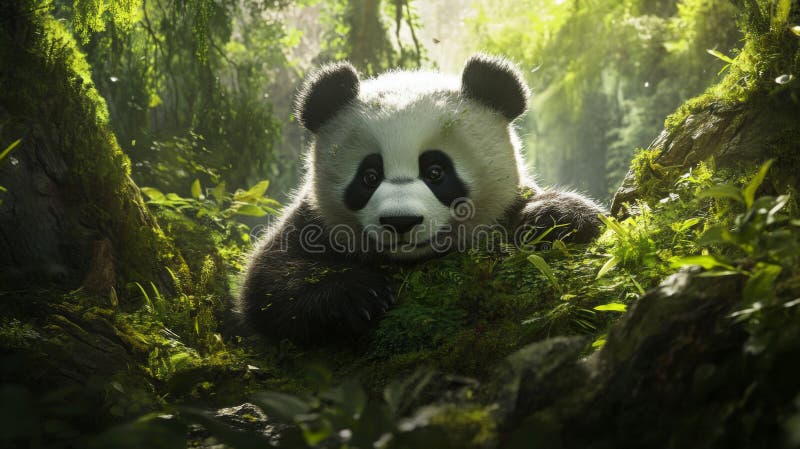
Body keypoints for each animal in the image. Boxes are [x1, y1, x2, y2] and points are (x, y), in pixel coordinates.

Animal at [238, 54, 605, 345]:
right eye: (369, 176)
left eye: (436, 172)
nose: (400, 222)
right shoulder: (313, 219)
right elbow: (267, 281)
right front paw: (358, 296)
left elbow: (585, 218)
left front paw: (548, 218)